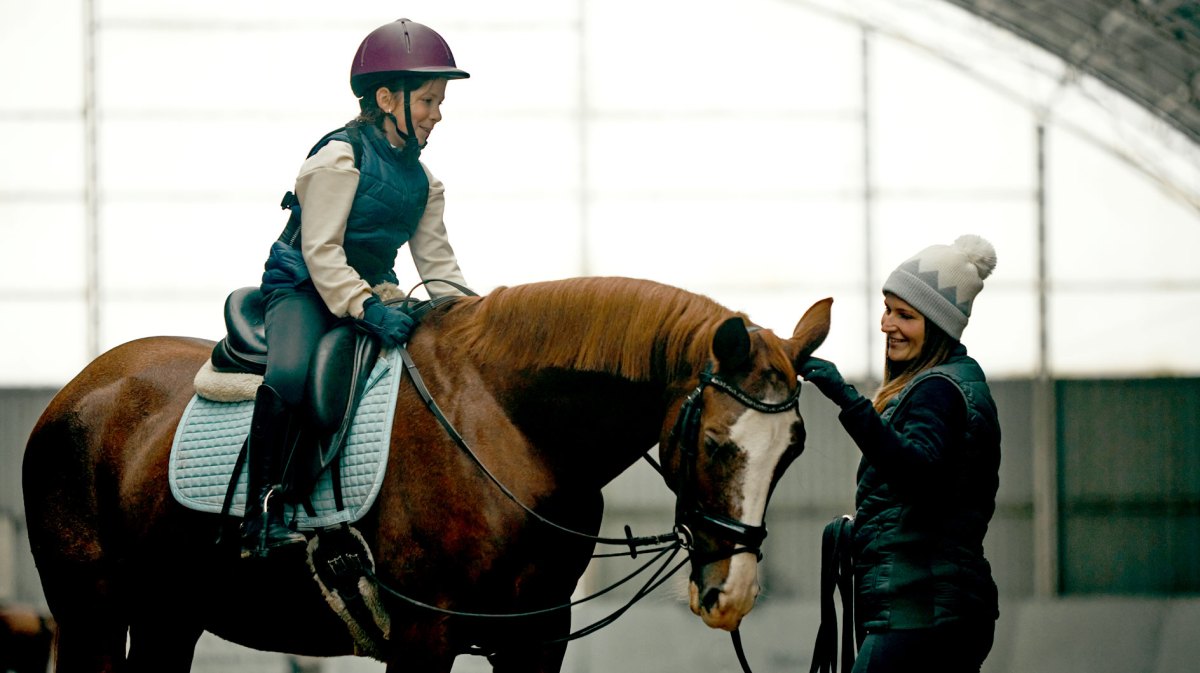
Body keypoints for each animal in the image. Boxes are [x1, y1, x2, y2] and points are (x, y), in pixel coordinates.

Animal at [23, 275, 830, 667]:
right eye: (718, 443)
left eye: (795, 446)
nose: (732, 594)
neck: (510, 432)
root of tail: (77, 391)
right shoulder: (423, 635)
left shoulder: (536, 639)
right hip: (93, 616)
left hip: (169, 615)